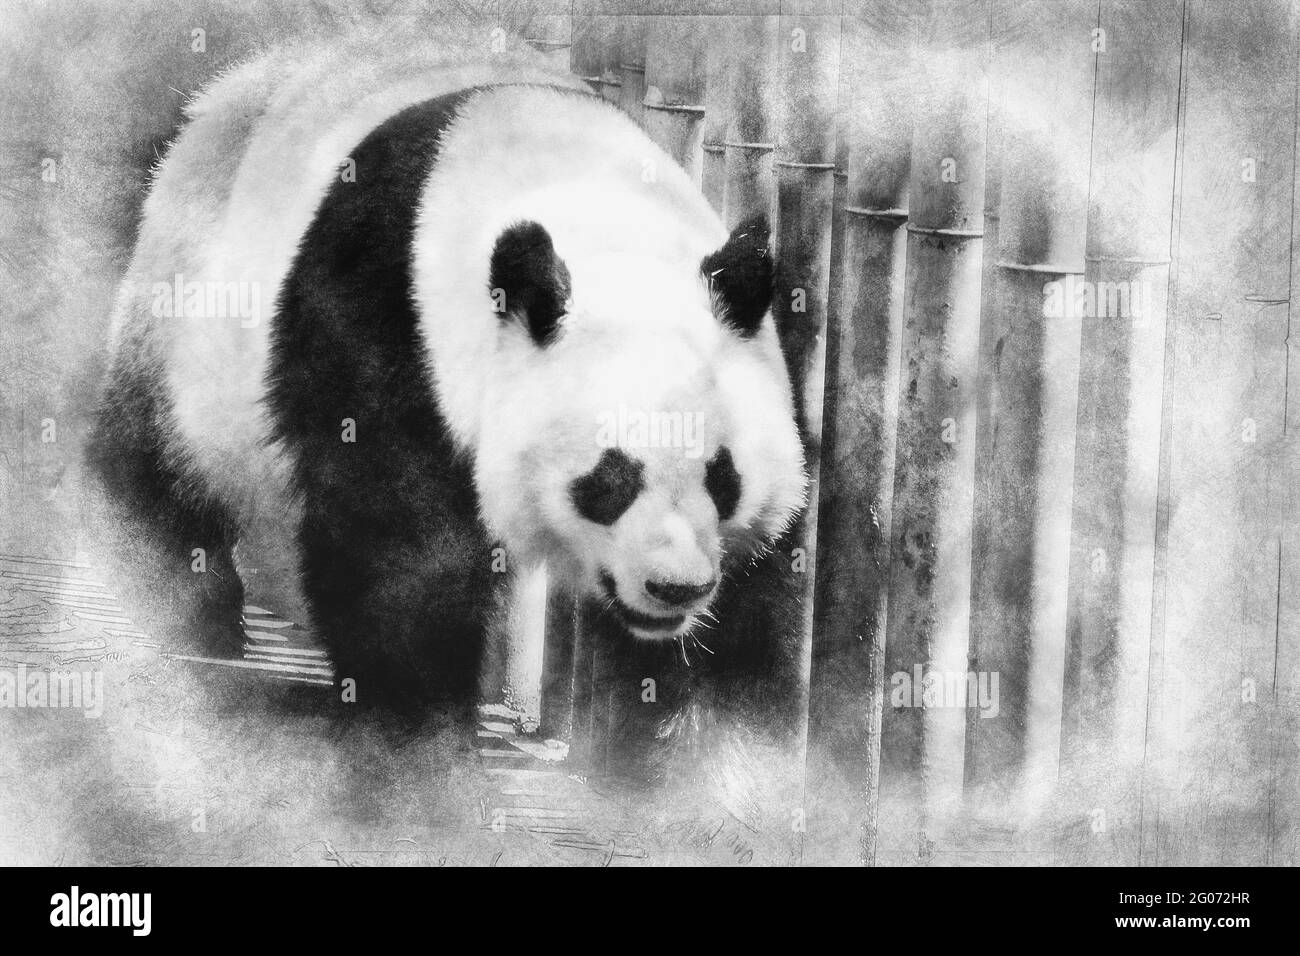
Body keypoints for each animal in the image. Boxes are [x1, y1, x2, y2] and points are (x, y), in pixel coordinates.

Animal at [90, 28, 808, 723]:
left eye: (724, 477)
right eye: (608, 479)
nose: (675, 586)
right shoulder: (386, 319)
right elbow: (403, 550)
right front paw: (410, 708)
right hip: (186, 312)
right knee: (154, 471)